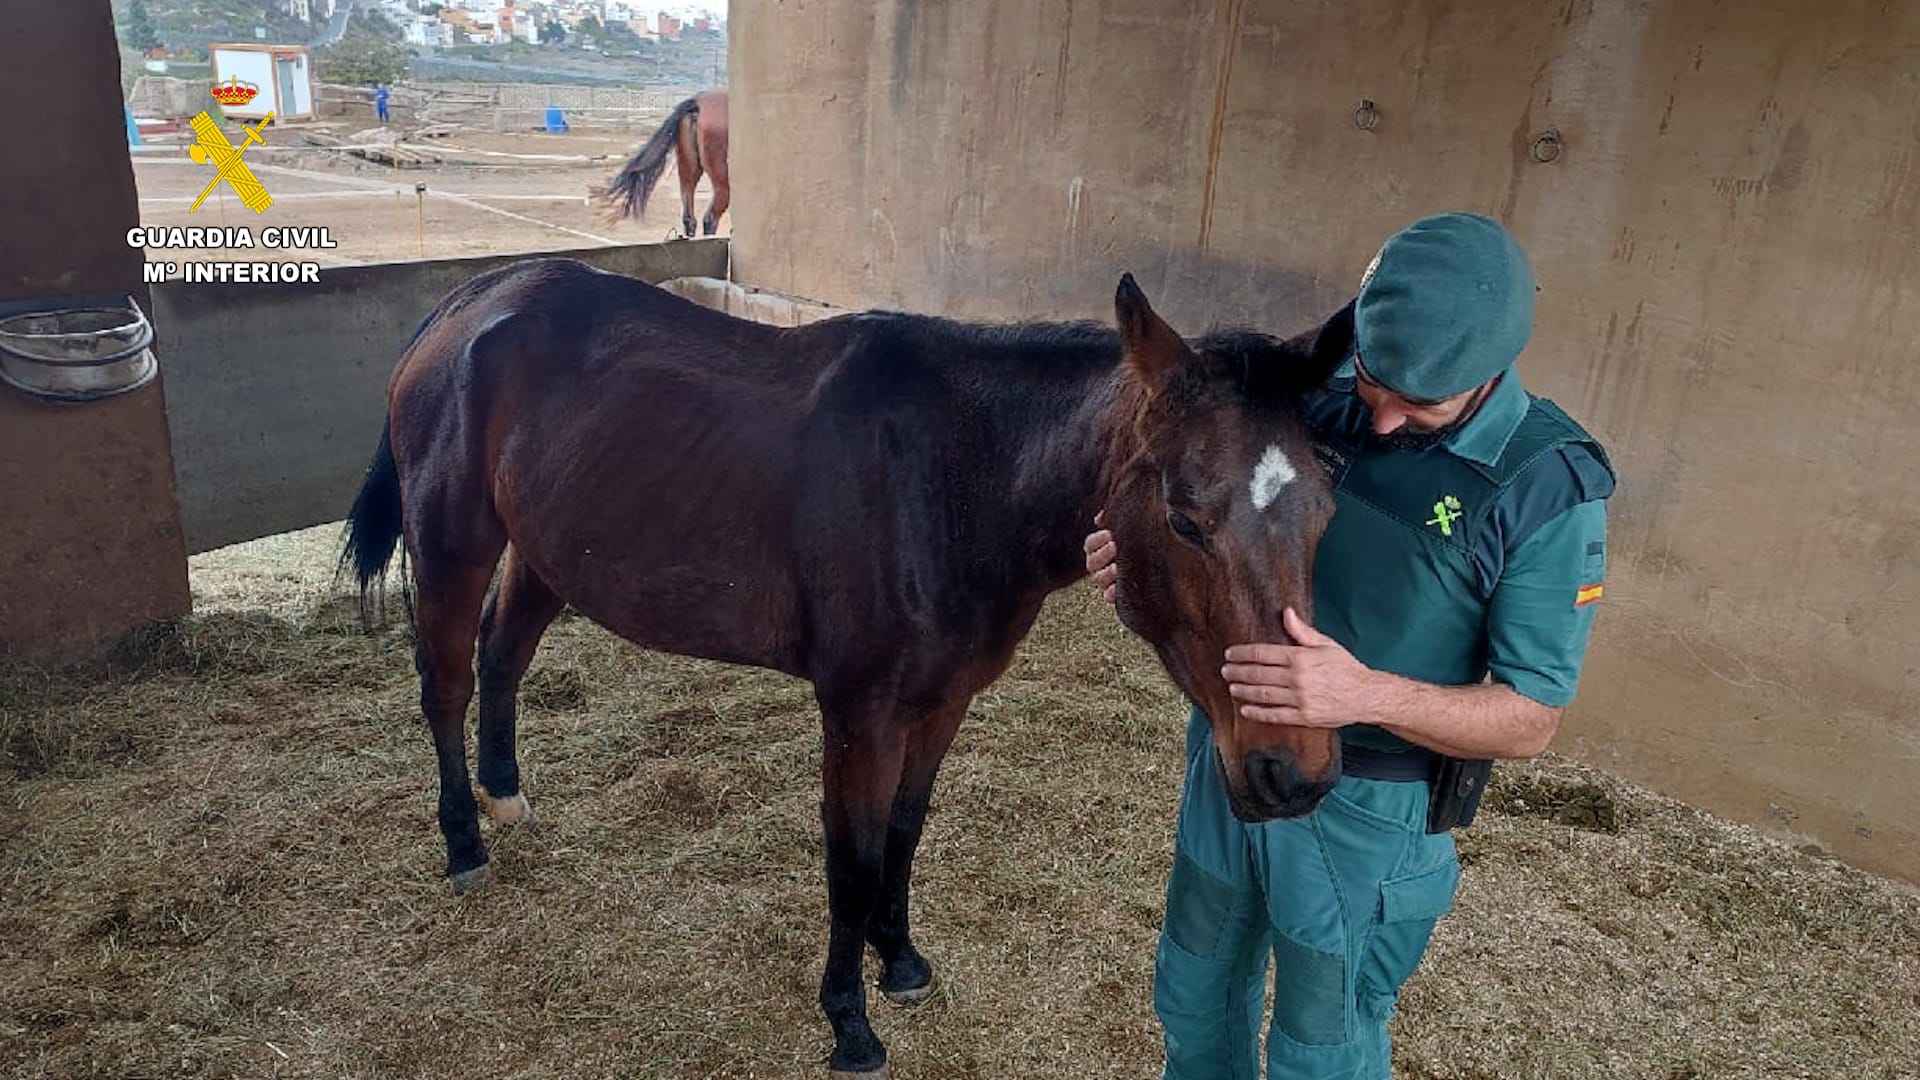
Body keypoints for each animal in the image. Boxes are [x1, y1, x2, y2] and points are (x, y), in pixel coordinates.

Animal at [341, 261, 1351, 1076]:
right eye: (1185, 518)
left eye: (1325, 506)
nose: (1291, 773)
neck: (955, 474)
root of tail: (471, 302)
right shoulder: (859, 712)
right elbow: (853, 858)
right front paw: (849, 1024)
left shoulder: (942, 703)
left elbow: (903, 834)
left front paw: (898, 961)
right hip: (454, 539)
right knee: (447, 683)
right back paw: (464, 842)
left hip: (548, 553)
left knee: (503, 655)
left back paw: (507, 796)